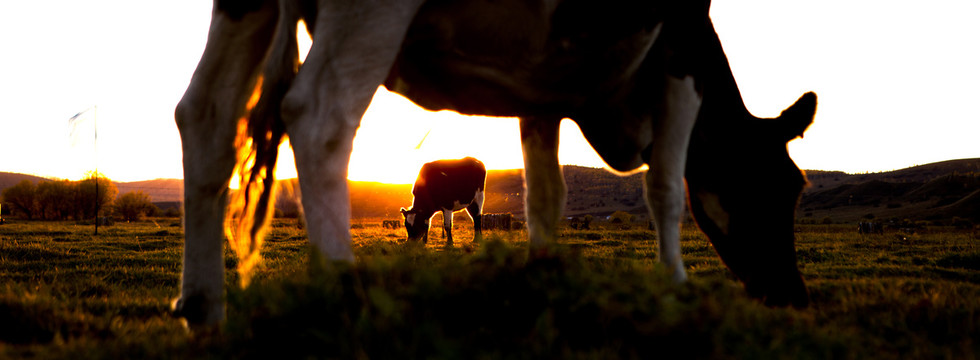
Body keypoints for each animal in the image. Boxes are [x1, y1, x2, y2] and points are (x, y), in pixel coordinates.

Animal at [174, 0, 812, 326]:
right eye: (786, 187)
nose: (794, 296)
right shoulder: (681, 55)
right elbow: (667, 191)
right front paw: (677, 287)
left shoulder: (545, 87)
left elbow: (545, 193)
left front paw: (545, 277)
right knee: (319, 115)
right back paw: (342, 302)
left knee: (204, 115)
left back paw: (202, 307)